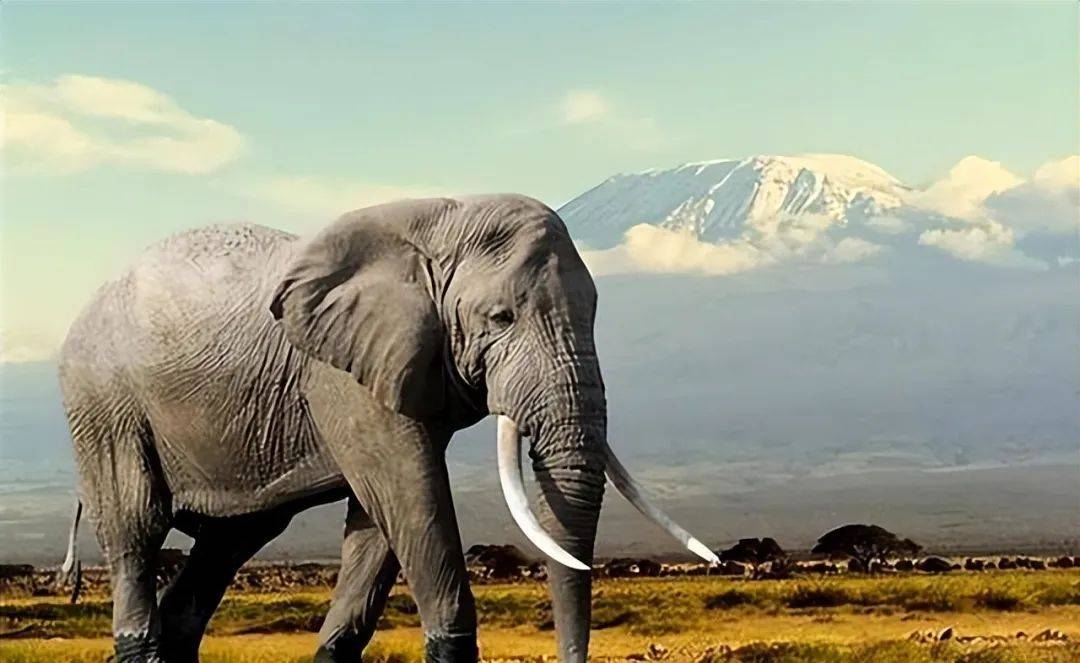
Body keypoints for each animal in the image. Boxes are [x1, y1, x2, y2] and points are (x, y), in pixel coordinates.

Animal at [56, 194, 716, 662]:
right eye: (500, 317)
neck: (441, 220)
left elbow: (379, 524)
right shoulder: (343, 374)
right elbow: (410, 495)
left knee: (230, 542)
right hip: (104, 404)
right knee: (137, 528)